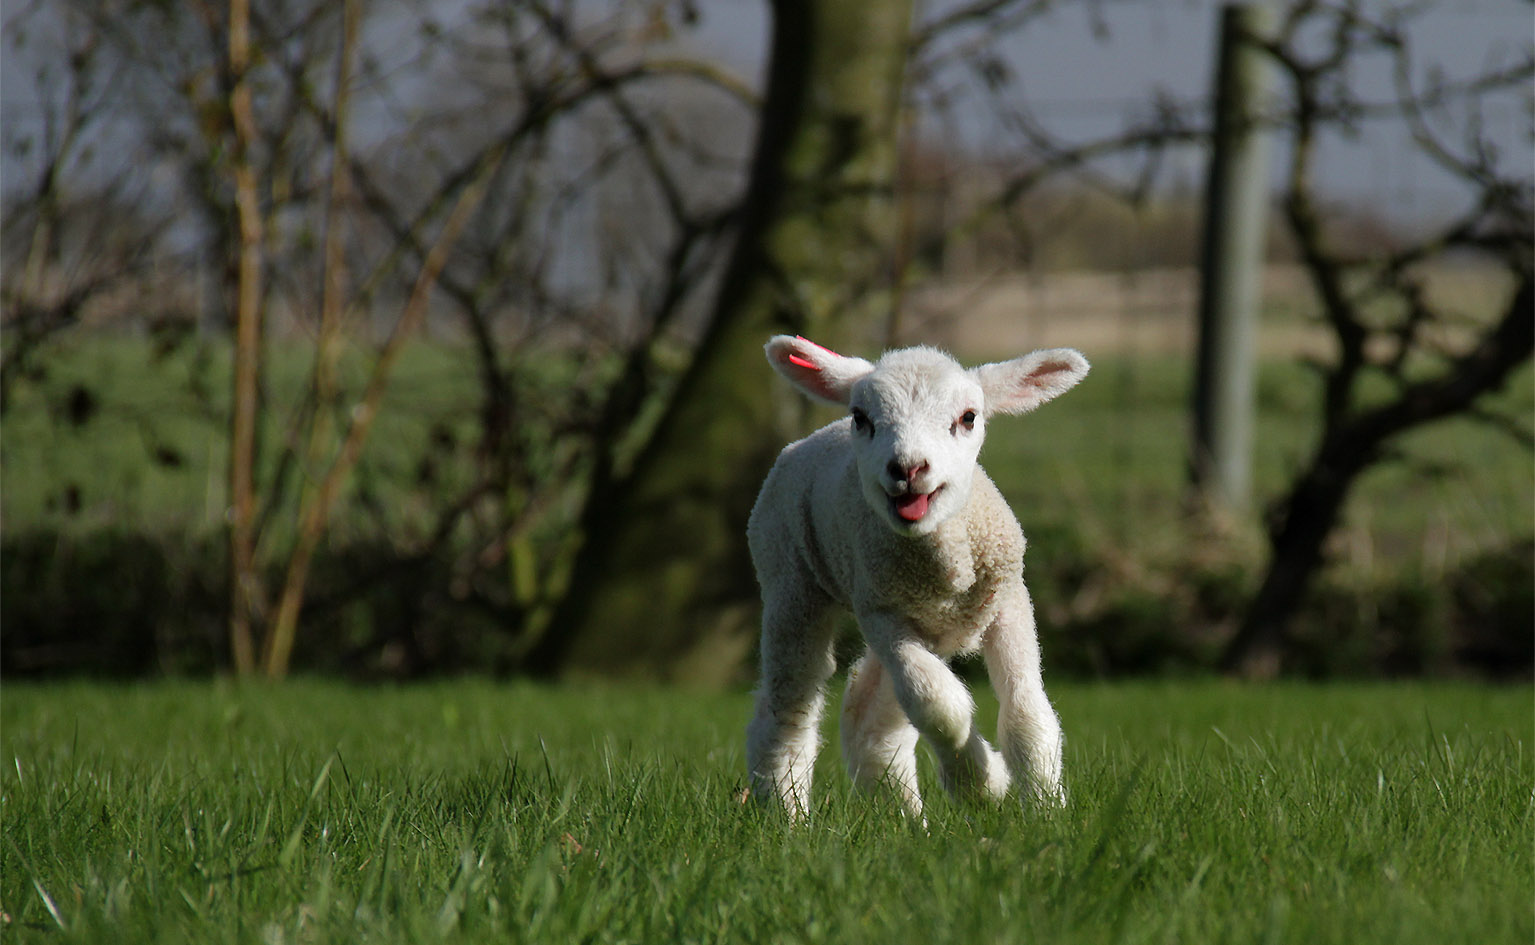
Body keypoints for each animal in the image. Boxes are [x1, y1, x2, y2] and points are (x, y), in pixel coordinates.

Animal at [746, 334, 1092, 822]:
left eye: (968, 418)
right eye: (861, 417)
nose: (907, 469)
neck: (946, 571)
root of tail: (814, 436)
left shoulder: (1008, 600)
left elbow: (1027, 712)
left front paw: (1046, 810)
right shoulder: (882, 612)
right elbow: (938, 705)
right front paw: (983, 785)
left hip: (918, 624)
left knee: (869, 714)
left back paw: (906, 820)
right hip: (790, 579)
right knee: (789, 705)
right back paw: (786, 814)